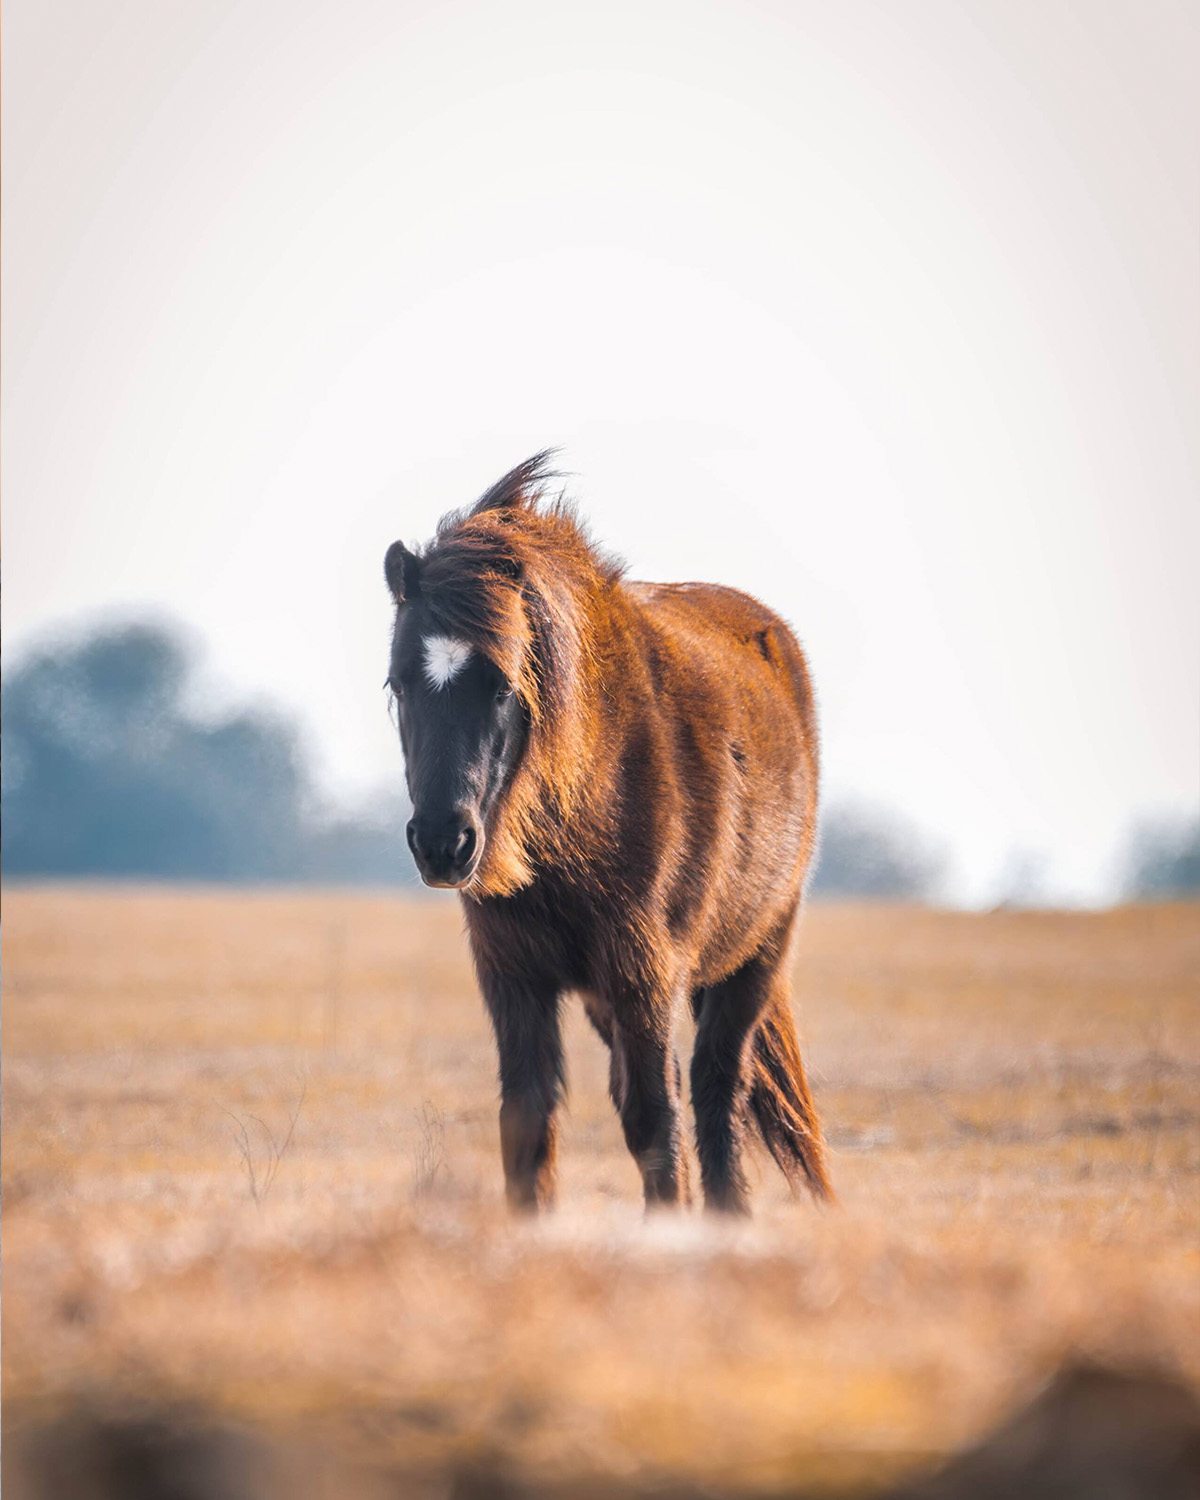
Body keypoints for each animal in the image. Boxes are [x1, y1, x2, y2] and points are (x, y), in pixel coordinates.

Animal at [384, 453, 830, 1214]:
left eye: (503, 686)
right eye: (400, 684)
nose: (444, 843)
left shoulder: (641, 972)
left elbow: (657, 1118)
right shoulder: (513, 976)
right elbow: (528, 1121)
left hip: (756, 956)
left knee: (715, 1090)